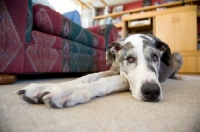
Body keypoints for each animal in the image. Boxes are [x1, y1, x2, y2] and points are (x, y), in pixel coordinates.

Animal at [16, 33, 186, 108]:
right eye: (130, 58)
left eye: (156, 57)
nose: (152, 92)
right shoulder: (114, 69)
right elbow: (89, 77)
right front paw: (45, 86)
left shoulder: (124, 78)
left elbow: (106, 81)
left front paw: (69, 91)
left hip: (179, 56)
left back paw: (181, 78)